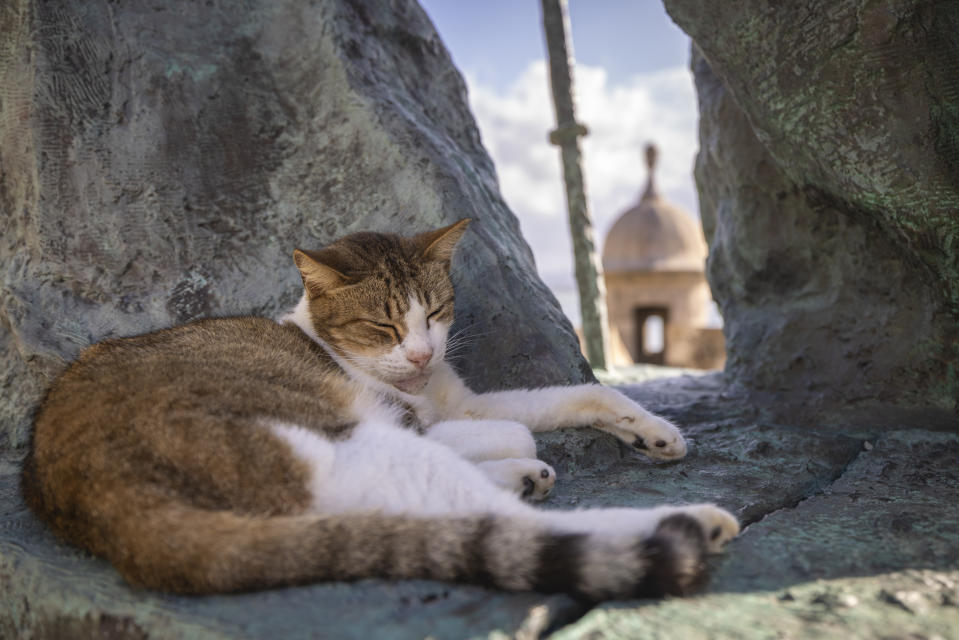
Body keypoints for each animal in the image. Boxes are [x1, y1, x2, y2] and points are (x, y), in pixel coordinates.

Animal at [24, 219, 744, 600]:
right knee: (506, 525)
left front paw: (652, 431)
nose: (423, 353)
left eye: (437, 312)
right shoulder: (416, 419)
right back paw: (691, 522)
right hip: (336, 443)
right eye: (383, 325)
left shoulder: (462, 399)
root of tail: (103, 506)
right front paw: (519, 458)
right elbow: (518, 428)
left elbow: (575, 396)